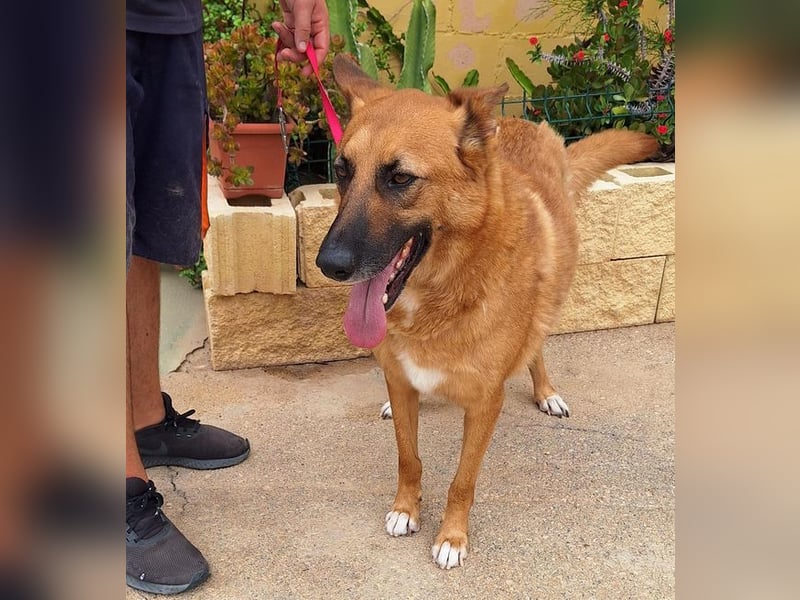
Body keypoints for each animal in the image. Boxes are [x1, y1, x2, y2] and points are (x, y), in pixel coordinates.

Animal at [316, 55, 660, 568]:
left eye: (400, 178)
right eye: (341, 171)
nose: (329, 265)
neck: (441, 293)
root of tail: (523, 123)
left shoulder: (484, 405)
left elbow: (463, 480)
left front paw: (451, 537)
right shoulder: (401, 382)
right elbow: (407, 456)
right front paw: (406, 509)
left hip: (552, 296)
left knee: (537, 345)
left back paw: (546, 391)